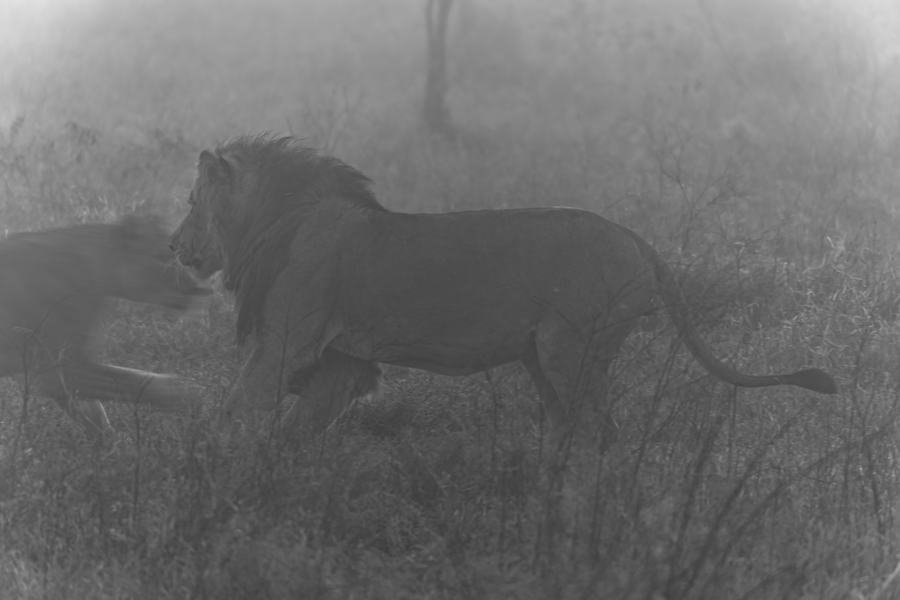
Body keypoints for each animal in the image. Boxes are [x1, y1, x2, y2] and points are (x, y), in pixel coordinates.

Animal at [0, 215, 210, 437]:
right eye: (161, 257)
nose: (200, 288)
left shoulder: (67, 369)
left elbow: (97, 416)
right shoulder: (55, 371)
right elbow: (138, 383)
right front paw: (190, 398)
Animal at [170, 135, 836, 435]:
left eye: (191, 201)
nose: (173, 246)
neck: (277, 220)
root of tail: (636, 239)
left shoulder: (287, 343)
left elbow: (235, 411)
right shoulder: (343, 364)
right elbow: (296, 432)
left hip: (573, 351)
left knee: (598, 438)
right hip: (544, 359)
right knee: (569, 433)